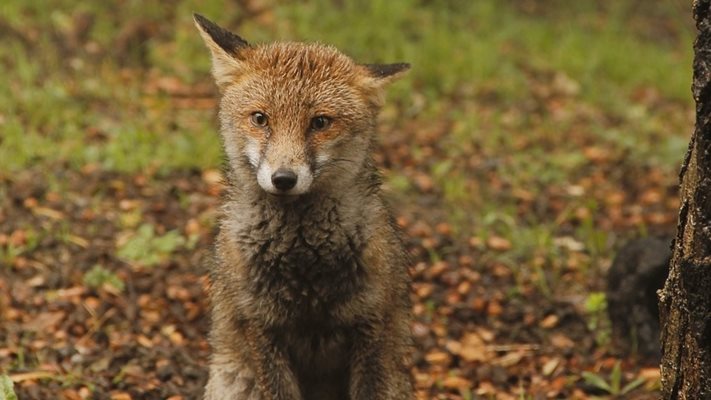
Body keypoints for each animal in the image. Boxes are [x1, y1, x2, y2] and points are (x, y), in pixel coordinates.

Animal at [196, 14, 418, 398]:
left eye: (320, 122)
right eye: (260, 118)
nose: (283, 178)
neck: (303, 263)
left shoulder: (372, 323)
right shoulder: (260, 326)